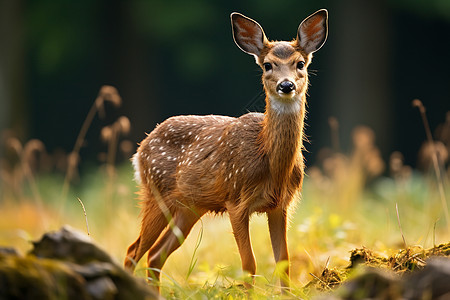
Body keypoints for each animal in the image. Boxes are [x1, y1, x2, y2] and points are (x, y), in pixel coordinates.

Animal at [125, 9, 328, 290]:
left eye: (300, 64)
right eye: (268, 65)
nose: (286, 85)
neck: (270, 162)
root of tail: (140, 149)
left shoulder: (280, 205)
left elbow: (284, 262)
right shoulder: (236, 200)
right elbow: (248, 264)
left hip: (190, 207)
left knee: (155, 256)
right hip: (156, 193)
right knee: (133, 251)